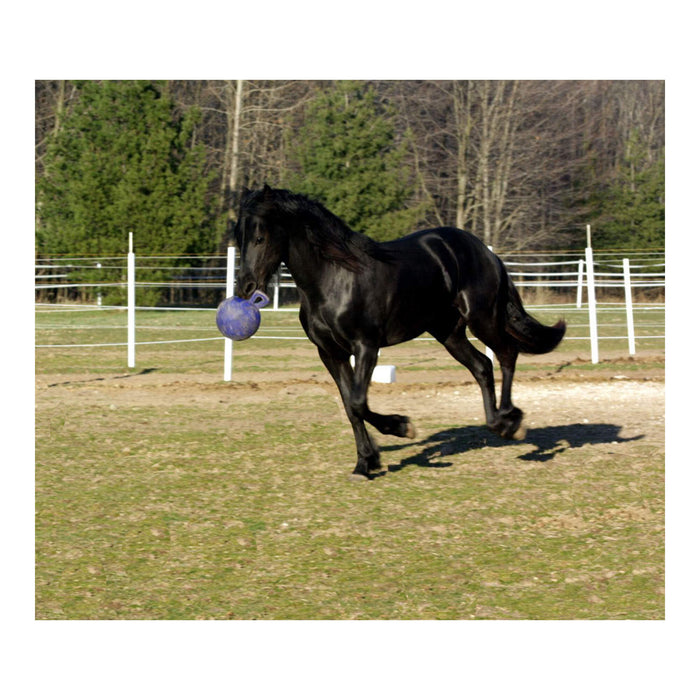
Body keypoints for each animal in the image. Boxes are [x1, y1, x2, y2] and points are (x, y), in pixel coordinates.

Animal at [233, 185, 566, 479]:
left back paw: (512, 424)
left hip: (482, 318)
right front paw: (365, 464)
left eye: (260, 237)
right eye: (239, 237)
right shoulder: (330, 354)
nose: (245, 288)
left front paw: (403, 427)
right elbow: (350, 407)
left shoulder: (366, 346)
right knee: (483, 366)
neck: (334, 278)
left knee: (507, 354)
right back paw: (497, 421)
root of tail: (487, 253)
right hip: (448, 332)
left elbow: (358, 402)